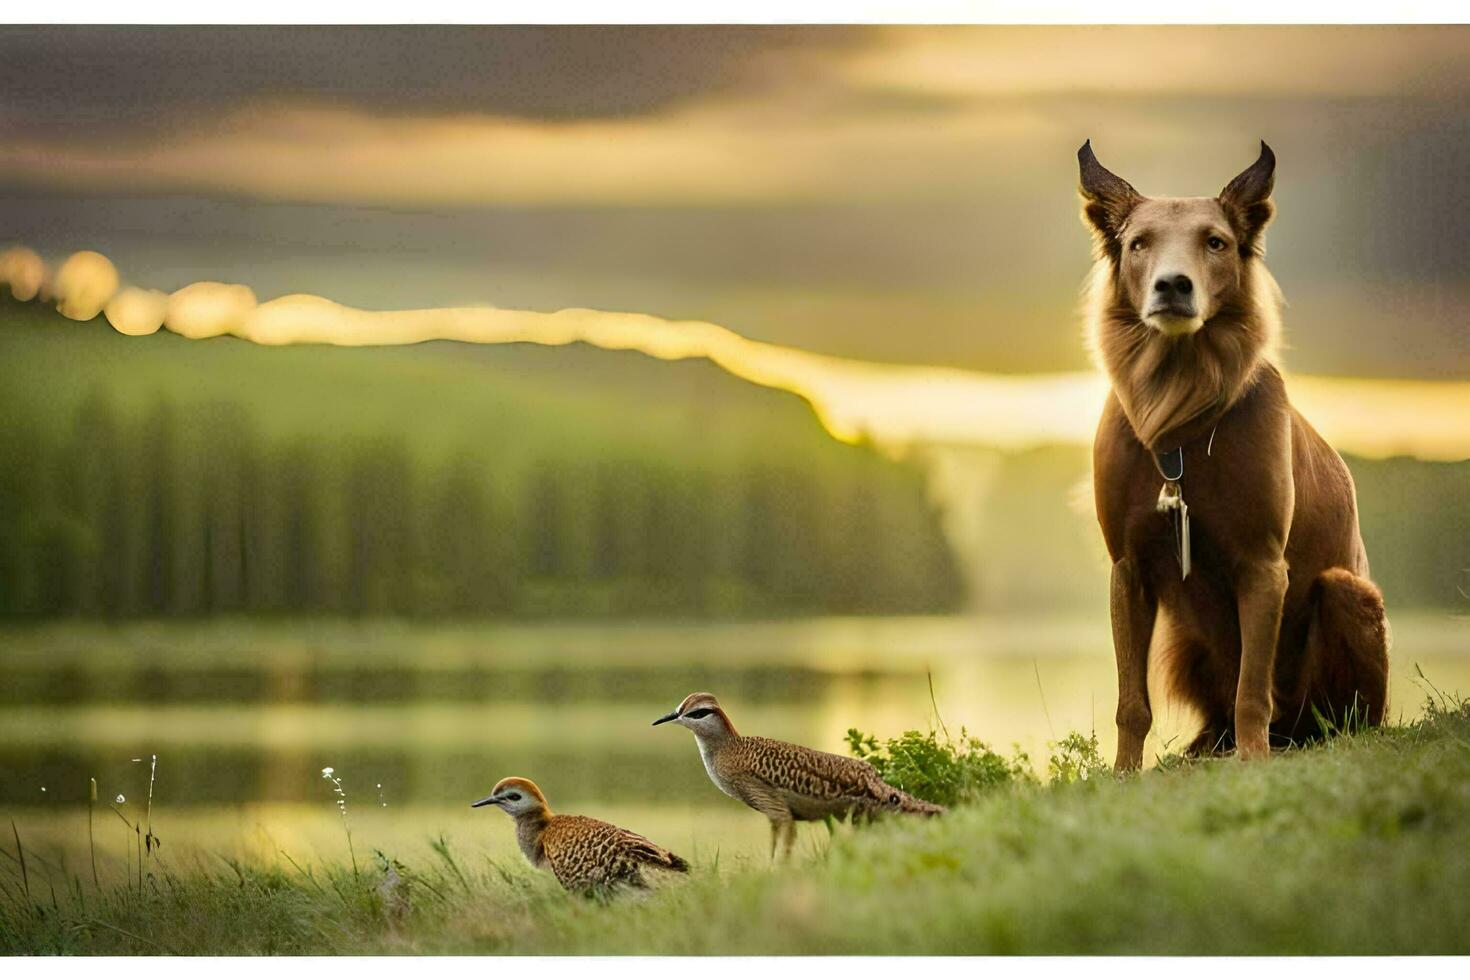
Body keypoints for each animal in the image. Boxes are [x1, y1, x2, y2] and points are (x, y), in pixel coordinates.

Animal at [1081, 139, 1387, 764]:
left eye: (1215, 242)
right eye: (1138, 243)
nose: (1173, 286)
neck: (1179, 414)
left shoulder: (1264, 566)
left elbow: (1253, 689)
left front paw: (1253, 760)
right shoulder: (1128, 568)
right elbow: (1132, 703)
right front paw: (1123, 772)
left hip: (1346, 595)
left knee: (1333, 715)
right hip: (1186, 637)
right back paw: (1205, 745)